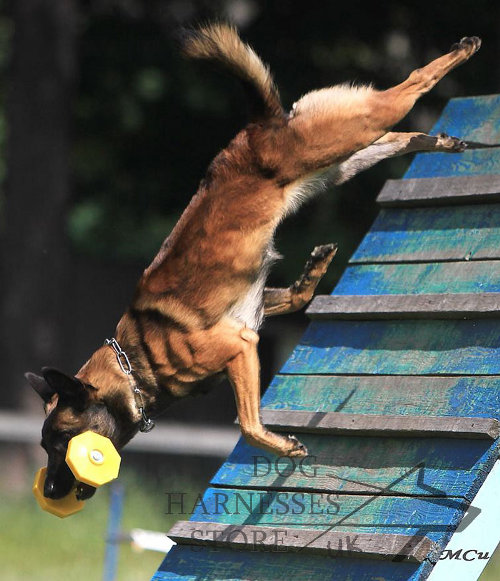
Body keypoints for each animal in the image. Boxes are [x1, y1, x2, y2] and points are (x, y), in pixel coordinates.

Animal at [26, 23, 480, 498]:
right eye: (46, 444)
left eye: (61, 439)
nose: (51, 491)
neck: (135, 362)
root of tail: (257, 127)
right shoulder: (254, 309)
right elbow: (298, 297)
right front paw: (315, 268)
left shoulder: (240, 347)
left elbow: (246, 424)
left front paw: (282, 446)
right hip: (341, 159)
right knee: (396, 135)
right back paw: (439, 139)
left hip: (345, 135)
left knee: (410, 85)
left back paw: (462, 50)